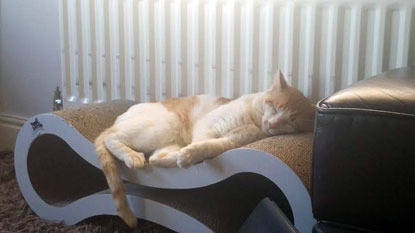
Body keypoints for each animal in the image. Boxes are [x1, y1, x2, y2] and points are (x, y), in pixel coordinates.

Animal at [94, 70, 316, 227]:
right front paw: (192, 156)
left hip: (166, 140)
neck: (252, 121)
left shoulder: (231, 142)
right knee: (111, 138)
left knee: (156, 158)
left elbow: (211, 146)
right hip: (159, 127)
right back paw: (132, 156)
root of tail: (118, 119)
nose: (272, 124)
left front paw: (190, 156)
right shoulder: (208, 125)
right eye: (275, 107)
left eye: (290, 122)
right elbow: (201, 142)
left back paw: (174, 157)